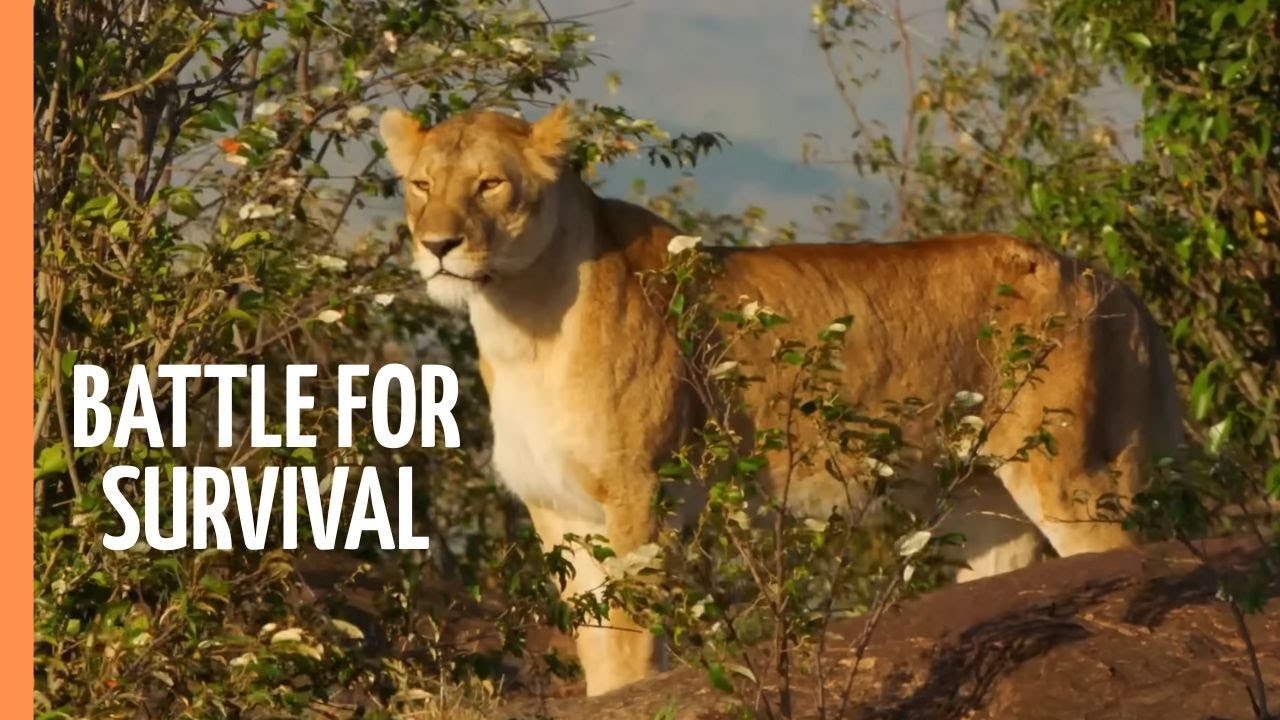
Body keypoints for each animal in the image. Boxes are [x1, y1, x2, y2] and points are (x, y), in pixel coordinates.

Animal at [378, 104, 1183, 696]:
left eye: (490, 185)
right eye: (419, 186)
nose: (437, 245)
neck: (520, 320)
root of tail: (1112, 283)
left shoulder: (641, 495)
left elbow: (634, 649)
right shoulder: (561, 513)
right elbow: (600, 653)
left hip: (1072, 472)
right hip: (984, 501)